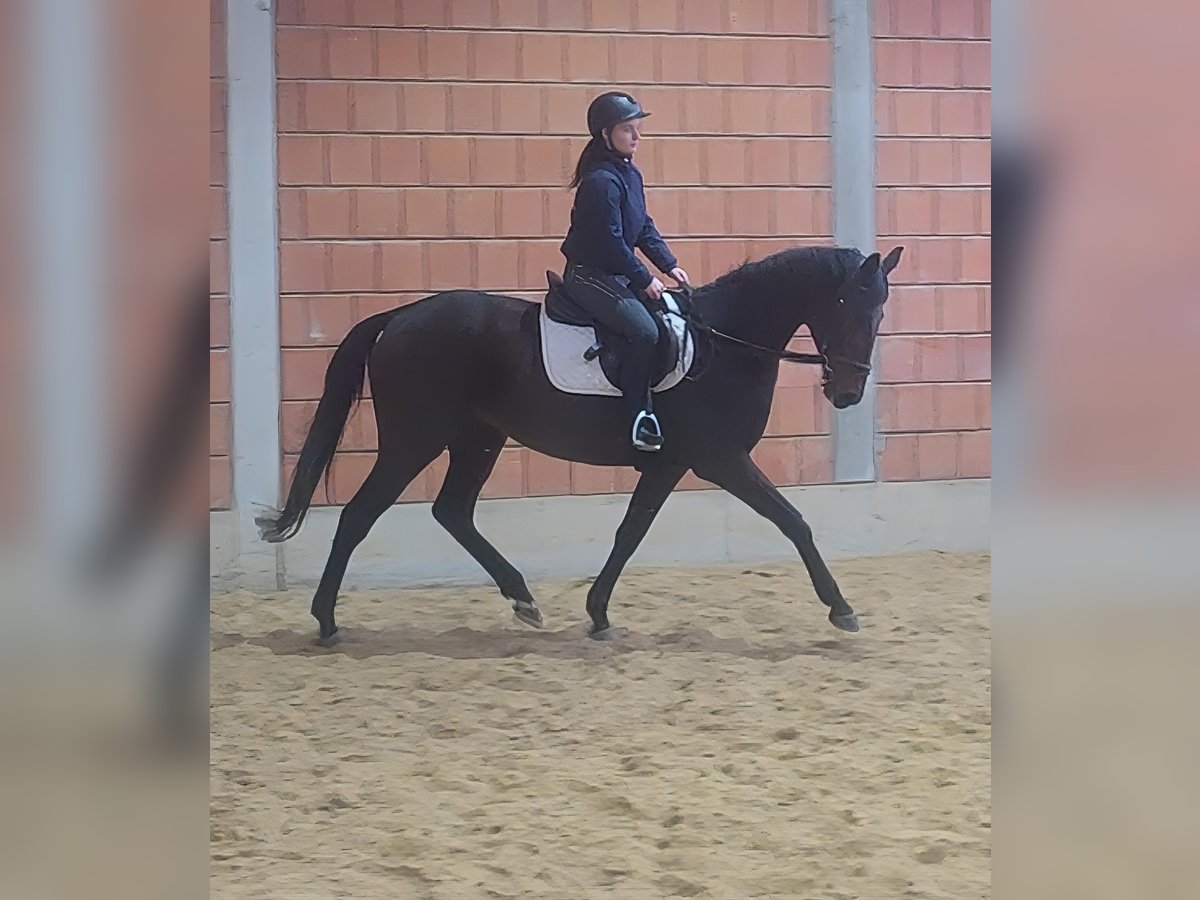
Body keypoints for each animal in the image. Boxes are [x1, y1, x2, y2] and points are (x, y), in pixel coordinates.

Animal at [257, 244, 904, 644]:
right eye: (847, 306)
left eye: (880, 313)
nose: (848, 392)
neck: (724, 345)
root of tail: (400, 316)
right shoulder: (719, 459)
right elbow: (793, 521)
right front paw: (841, 608)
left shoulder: (669, 464)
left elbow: (630, 531)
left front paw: (597, 614)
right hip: (413, 441)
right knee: (359, 515)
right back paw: (326, 620)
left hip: (478, 439)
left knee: (452, 512)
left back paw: (522, 598)